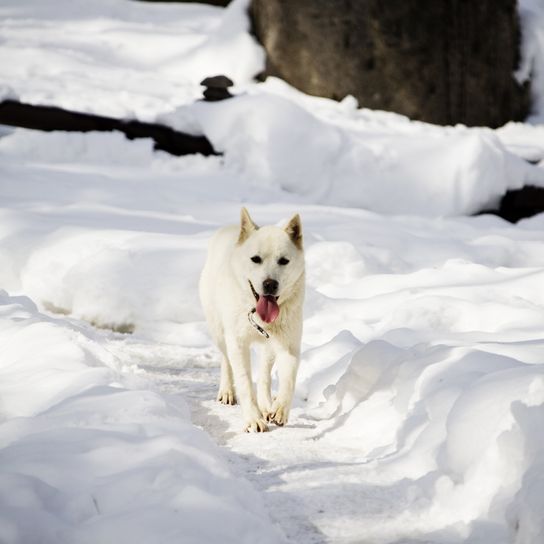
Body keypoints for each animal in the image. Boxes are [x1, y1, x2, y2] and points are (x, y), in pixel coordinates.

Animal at [199, 208, 304, 434]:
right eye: (255, 259)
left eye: (284, 261)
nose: (270, 284)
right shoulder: (238, 343)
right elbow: (245, 382)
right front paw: (253, 420)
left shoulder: (289, 344)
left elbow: (288, 380)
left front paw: (279, 409)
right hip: (219, 332)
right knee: (226, 360)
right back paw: (227, 391)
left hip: (269, 347)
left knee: (264, 376)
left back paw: (266, 405)